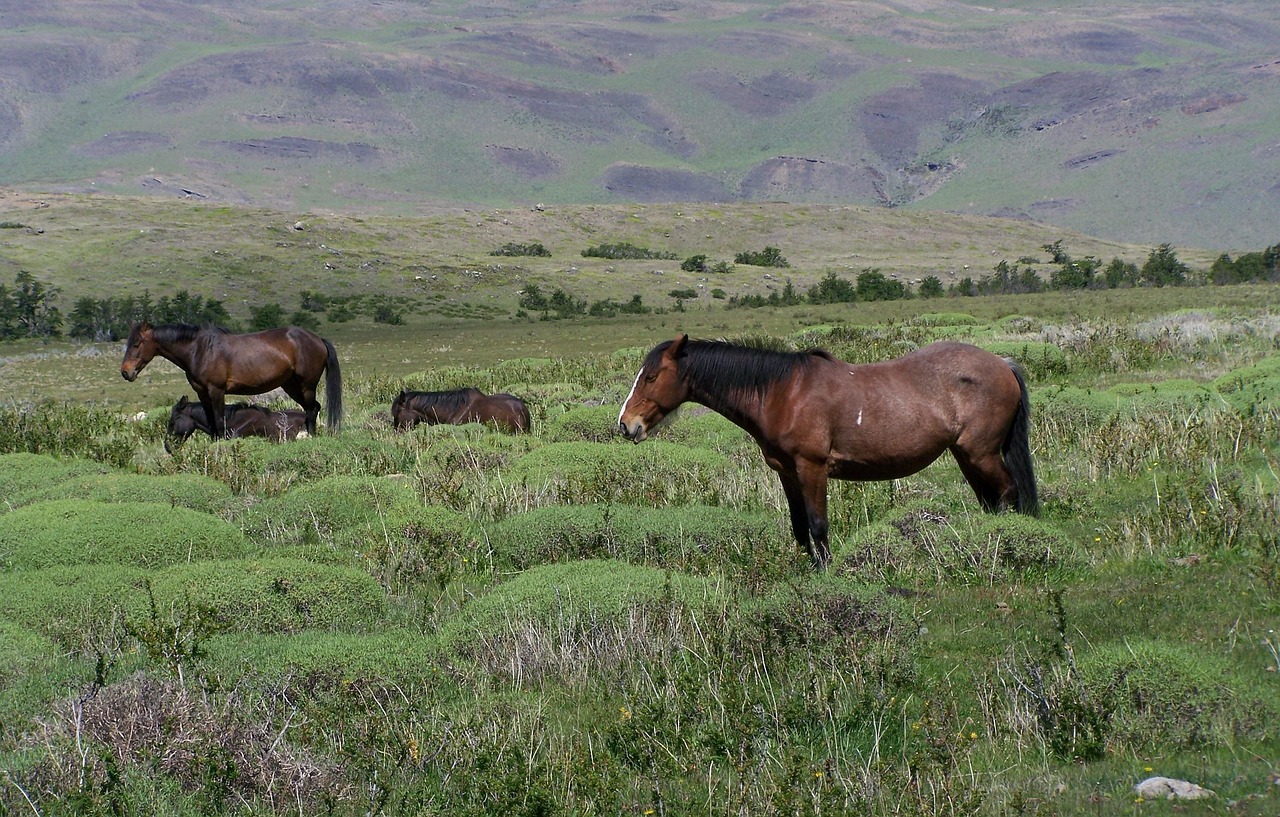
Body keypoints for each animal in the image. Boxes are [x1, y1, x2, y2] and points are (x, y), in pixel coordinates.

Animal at [121, 321, 341, 439]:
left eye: (137, 344)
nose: (125, 372)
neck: (200, 350)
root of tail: (318, 339)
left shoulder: (216, 391)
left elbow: (219, 421)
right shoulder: (203, 393)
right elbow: (211, 421)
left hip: (306, 386)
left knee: (312, 409)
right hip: (291, 386)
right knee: (312, 409)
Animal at [618, 335, 1038, 569]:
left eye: (651, 376)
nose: (626, 424)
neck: (783, 393)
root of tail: (1002, 364)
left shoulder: (813, 468)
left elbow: (818, 525)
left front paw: (826, 573)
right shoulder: (787, 472)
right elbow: (800, 528)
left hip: (981, 454)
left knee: (1007, 492)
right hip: (966, 456)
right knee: (991, 498)